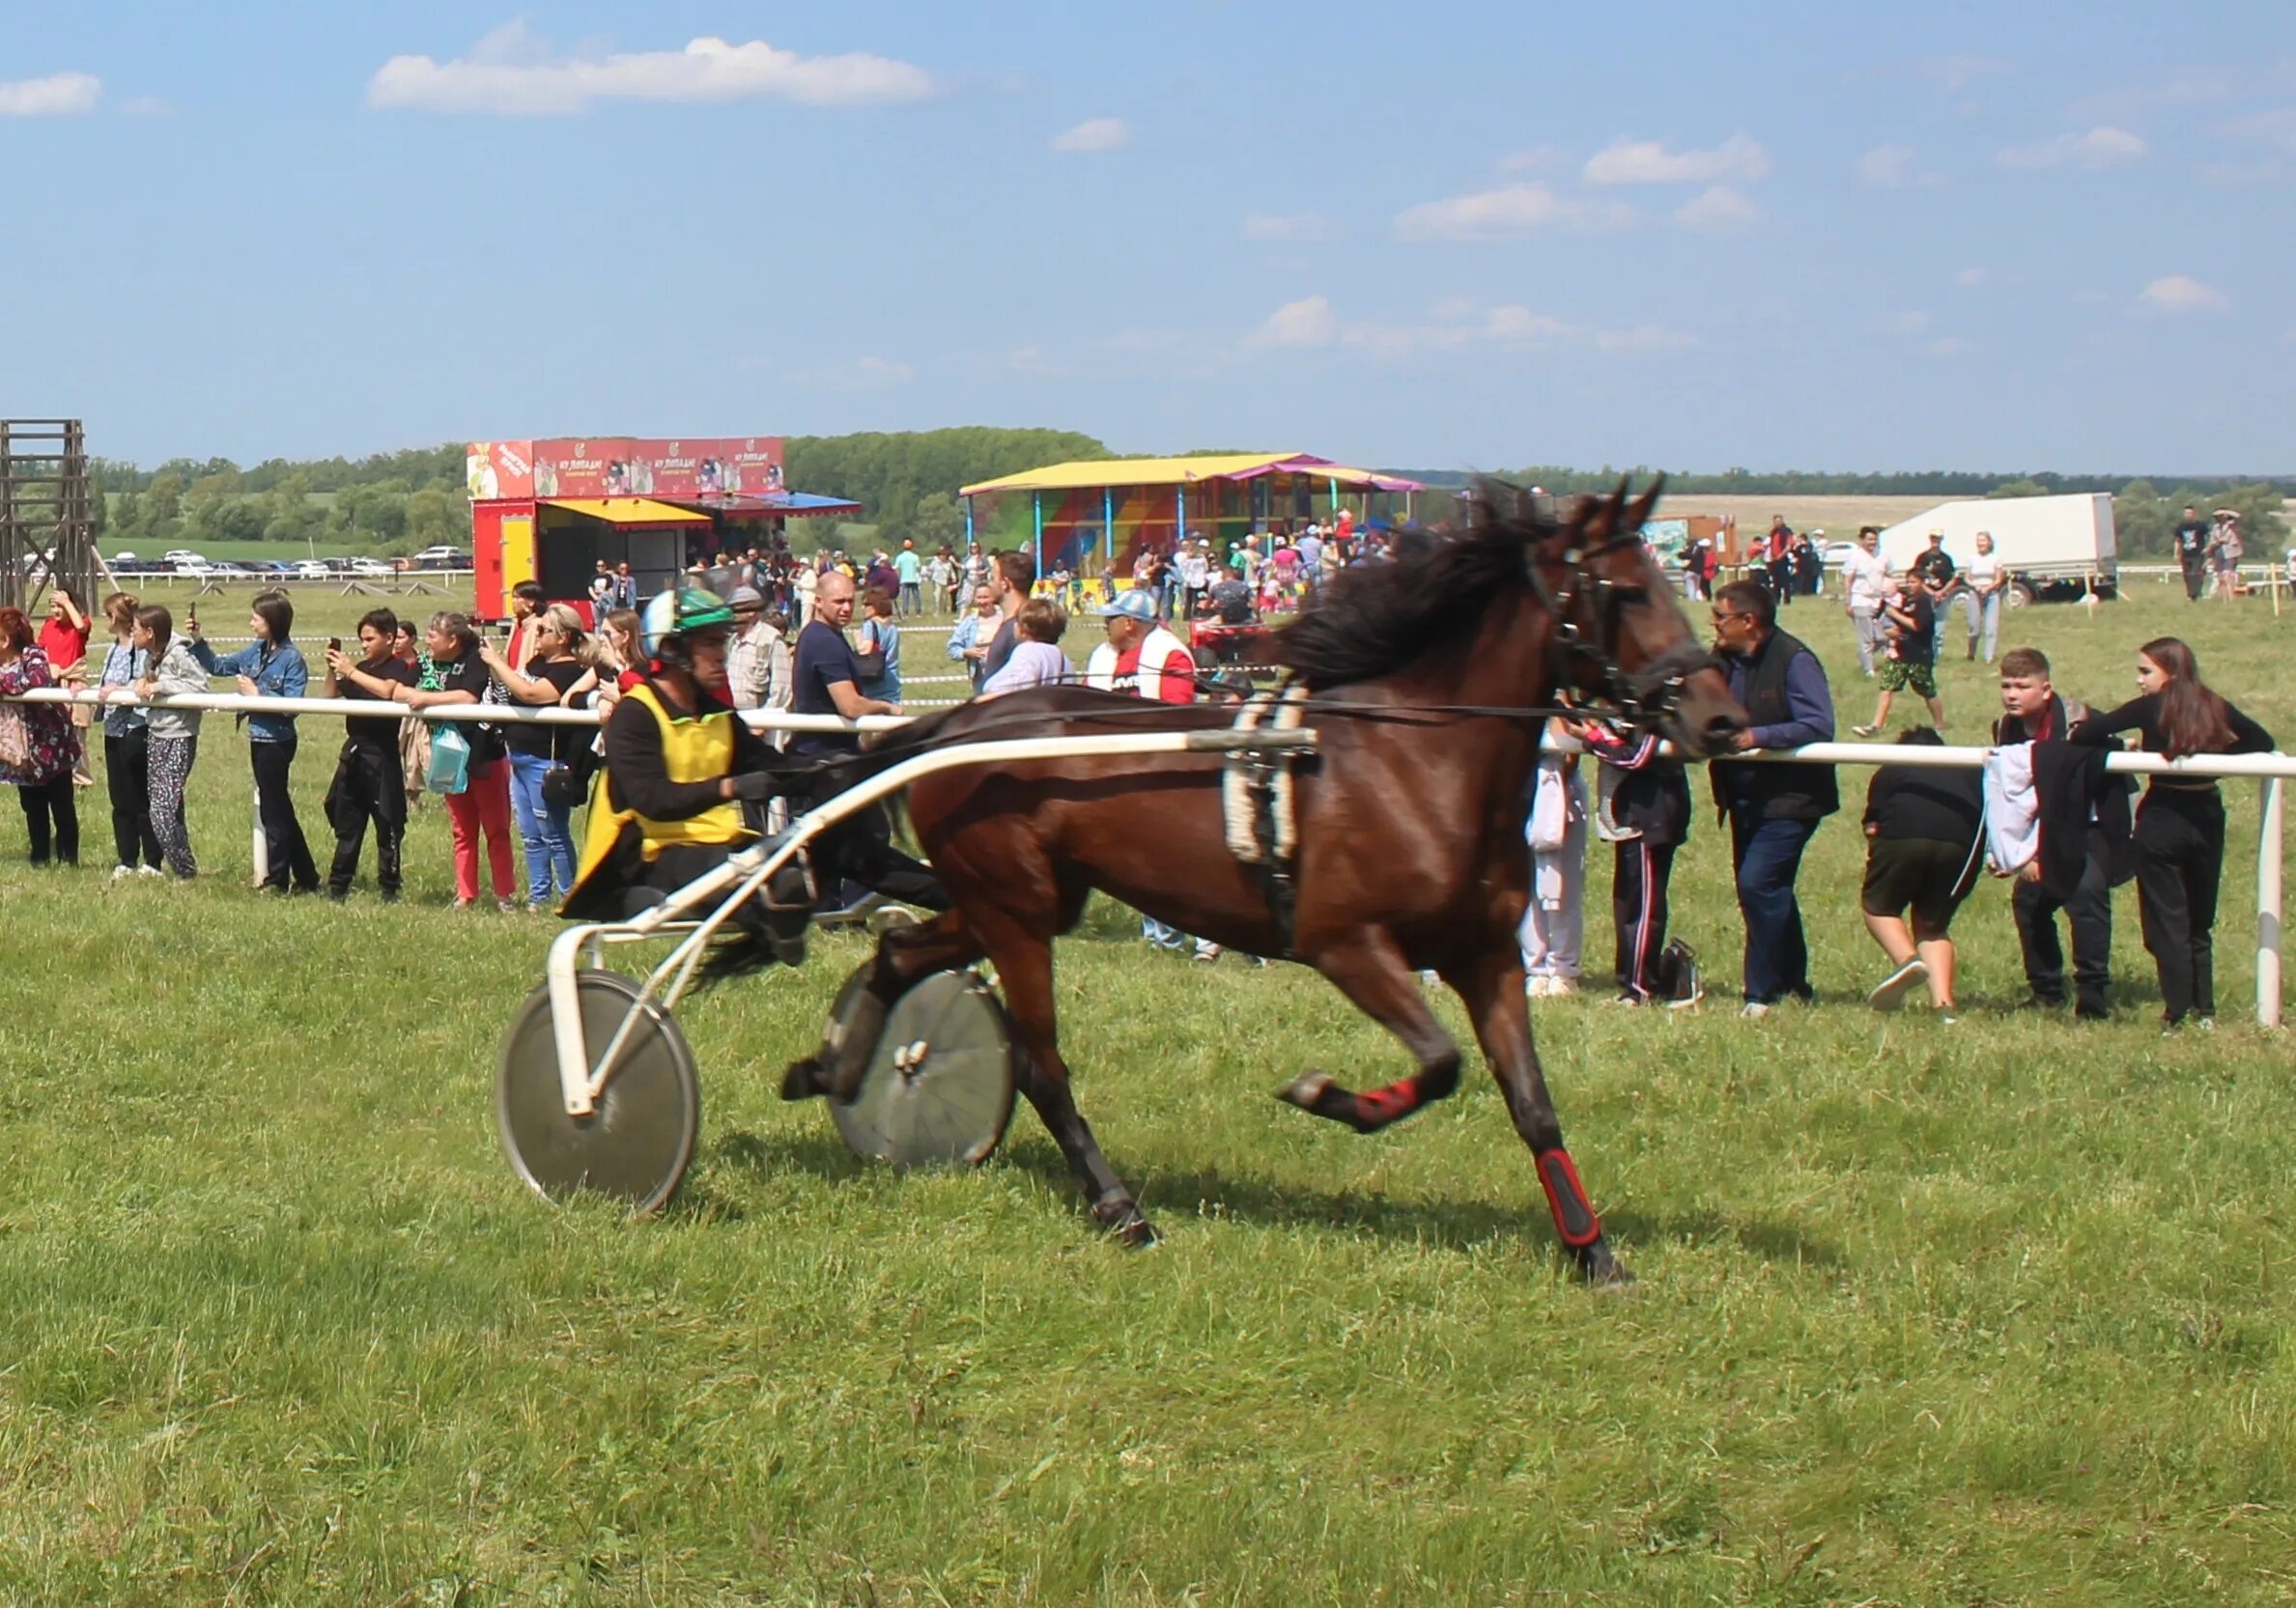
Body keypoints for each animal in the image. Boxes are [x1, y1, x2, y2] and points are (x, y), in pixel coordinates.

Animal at [789, 477, 1736, 1277]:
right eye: (1624, 591)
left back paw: (835, 1069)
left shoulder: (1485, 953)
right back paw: (1118, 1204)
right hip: (1013, 911)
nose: (1720, 717)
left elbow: (1530, 1099)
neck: (1415, 760)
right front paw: (1326, 1093)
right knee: (1040, 1062)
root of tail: (955, 728)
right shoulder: (1343, 942)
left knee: (900, 955)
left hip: (1019, 903)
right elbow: (1438, 1063)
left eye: (1661, 578)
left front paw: (1593, 1252)